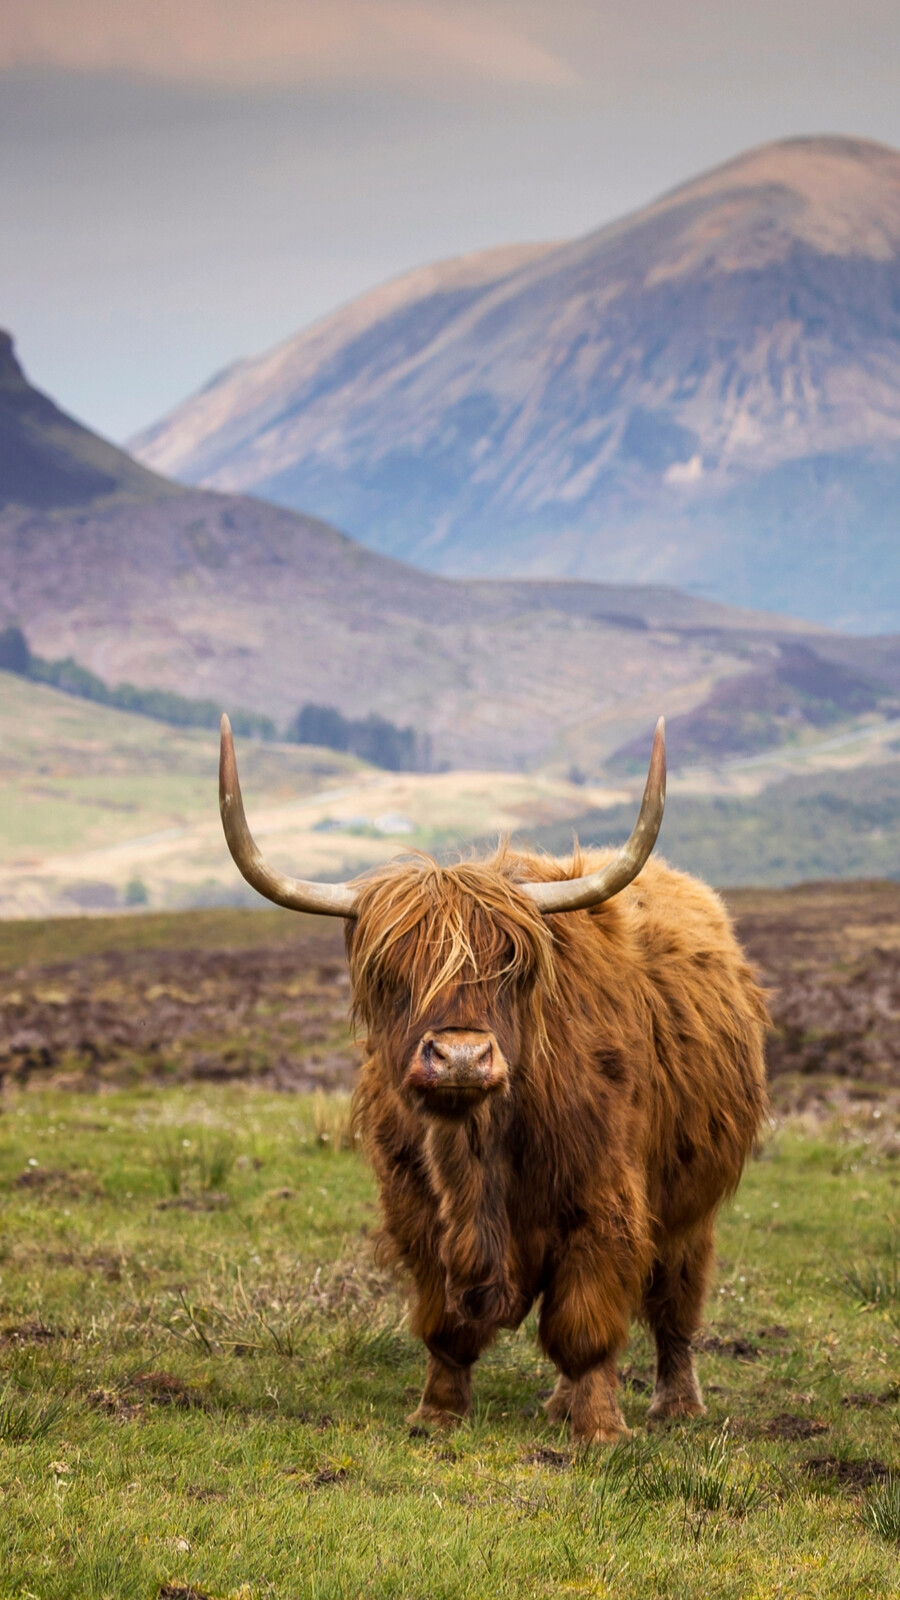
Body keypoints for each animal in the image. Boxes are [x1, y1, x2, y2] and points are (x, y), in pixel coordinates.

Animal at [218, 714, 768, 1444]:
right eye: (392, 975)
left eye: (512, 967)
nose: (460, 1057)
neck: (476, 1151)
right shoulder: (415, 1212)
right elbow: (445, 1325)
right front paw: (437, 1413)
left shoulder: (604, 1202)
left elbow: (585, 1325)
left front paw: (600, 1430)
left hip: (689, 1205)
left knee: (676, 1303)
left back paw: (675, 1403)